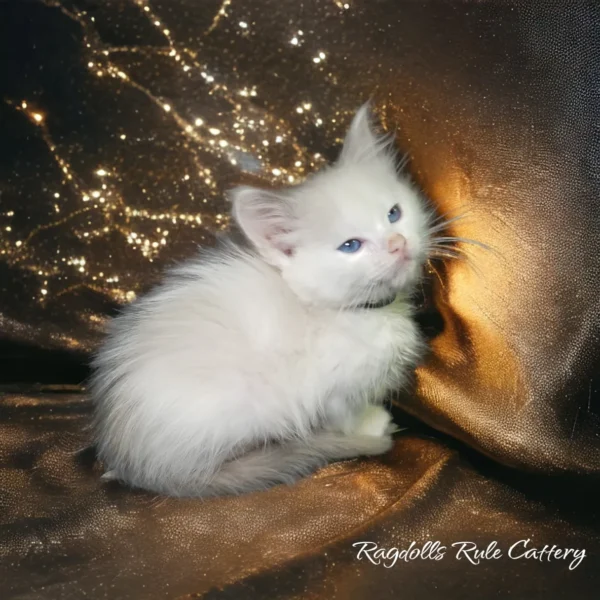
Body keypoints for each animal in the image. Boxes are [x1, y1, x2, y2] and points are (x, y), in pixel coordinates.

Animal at [90, 104, 432, 496]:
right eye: (351, 246)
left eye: (394, 213)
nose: (397, 244)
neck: (357, 313)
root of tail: (132, 465)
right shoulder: (329, 389)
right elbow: (345, 414)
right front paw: (370, 425)